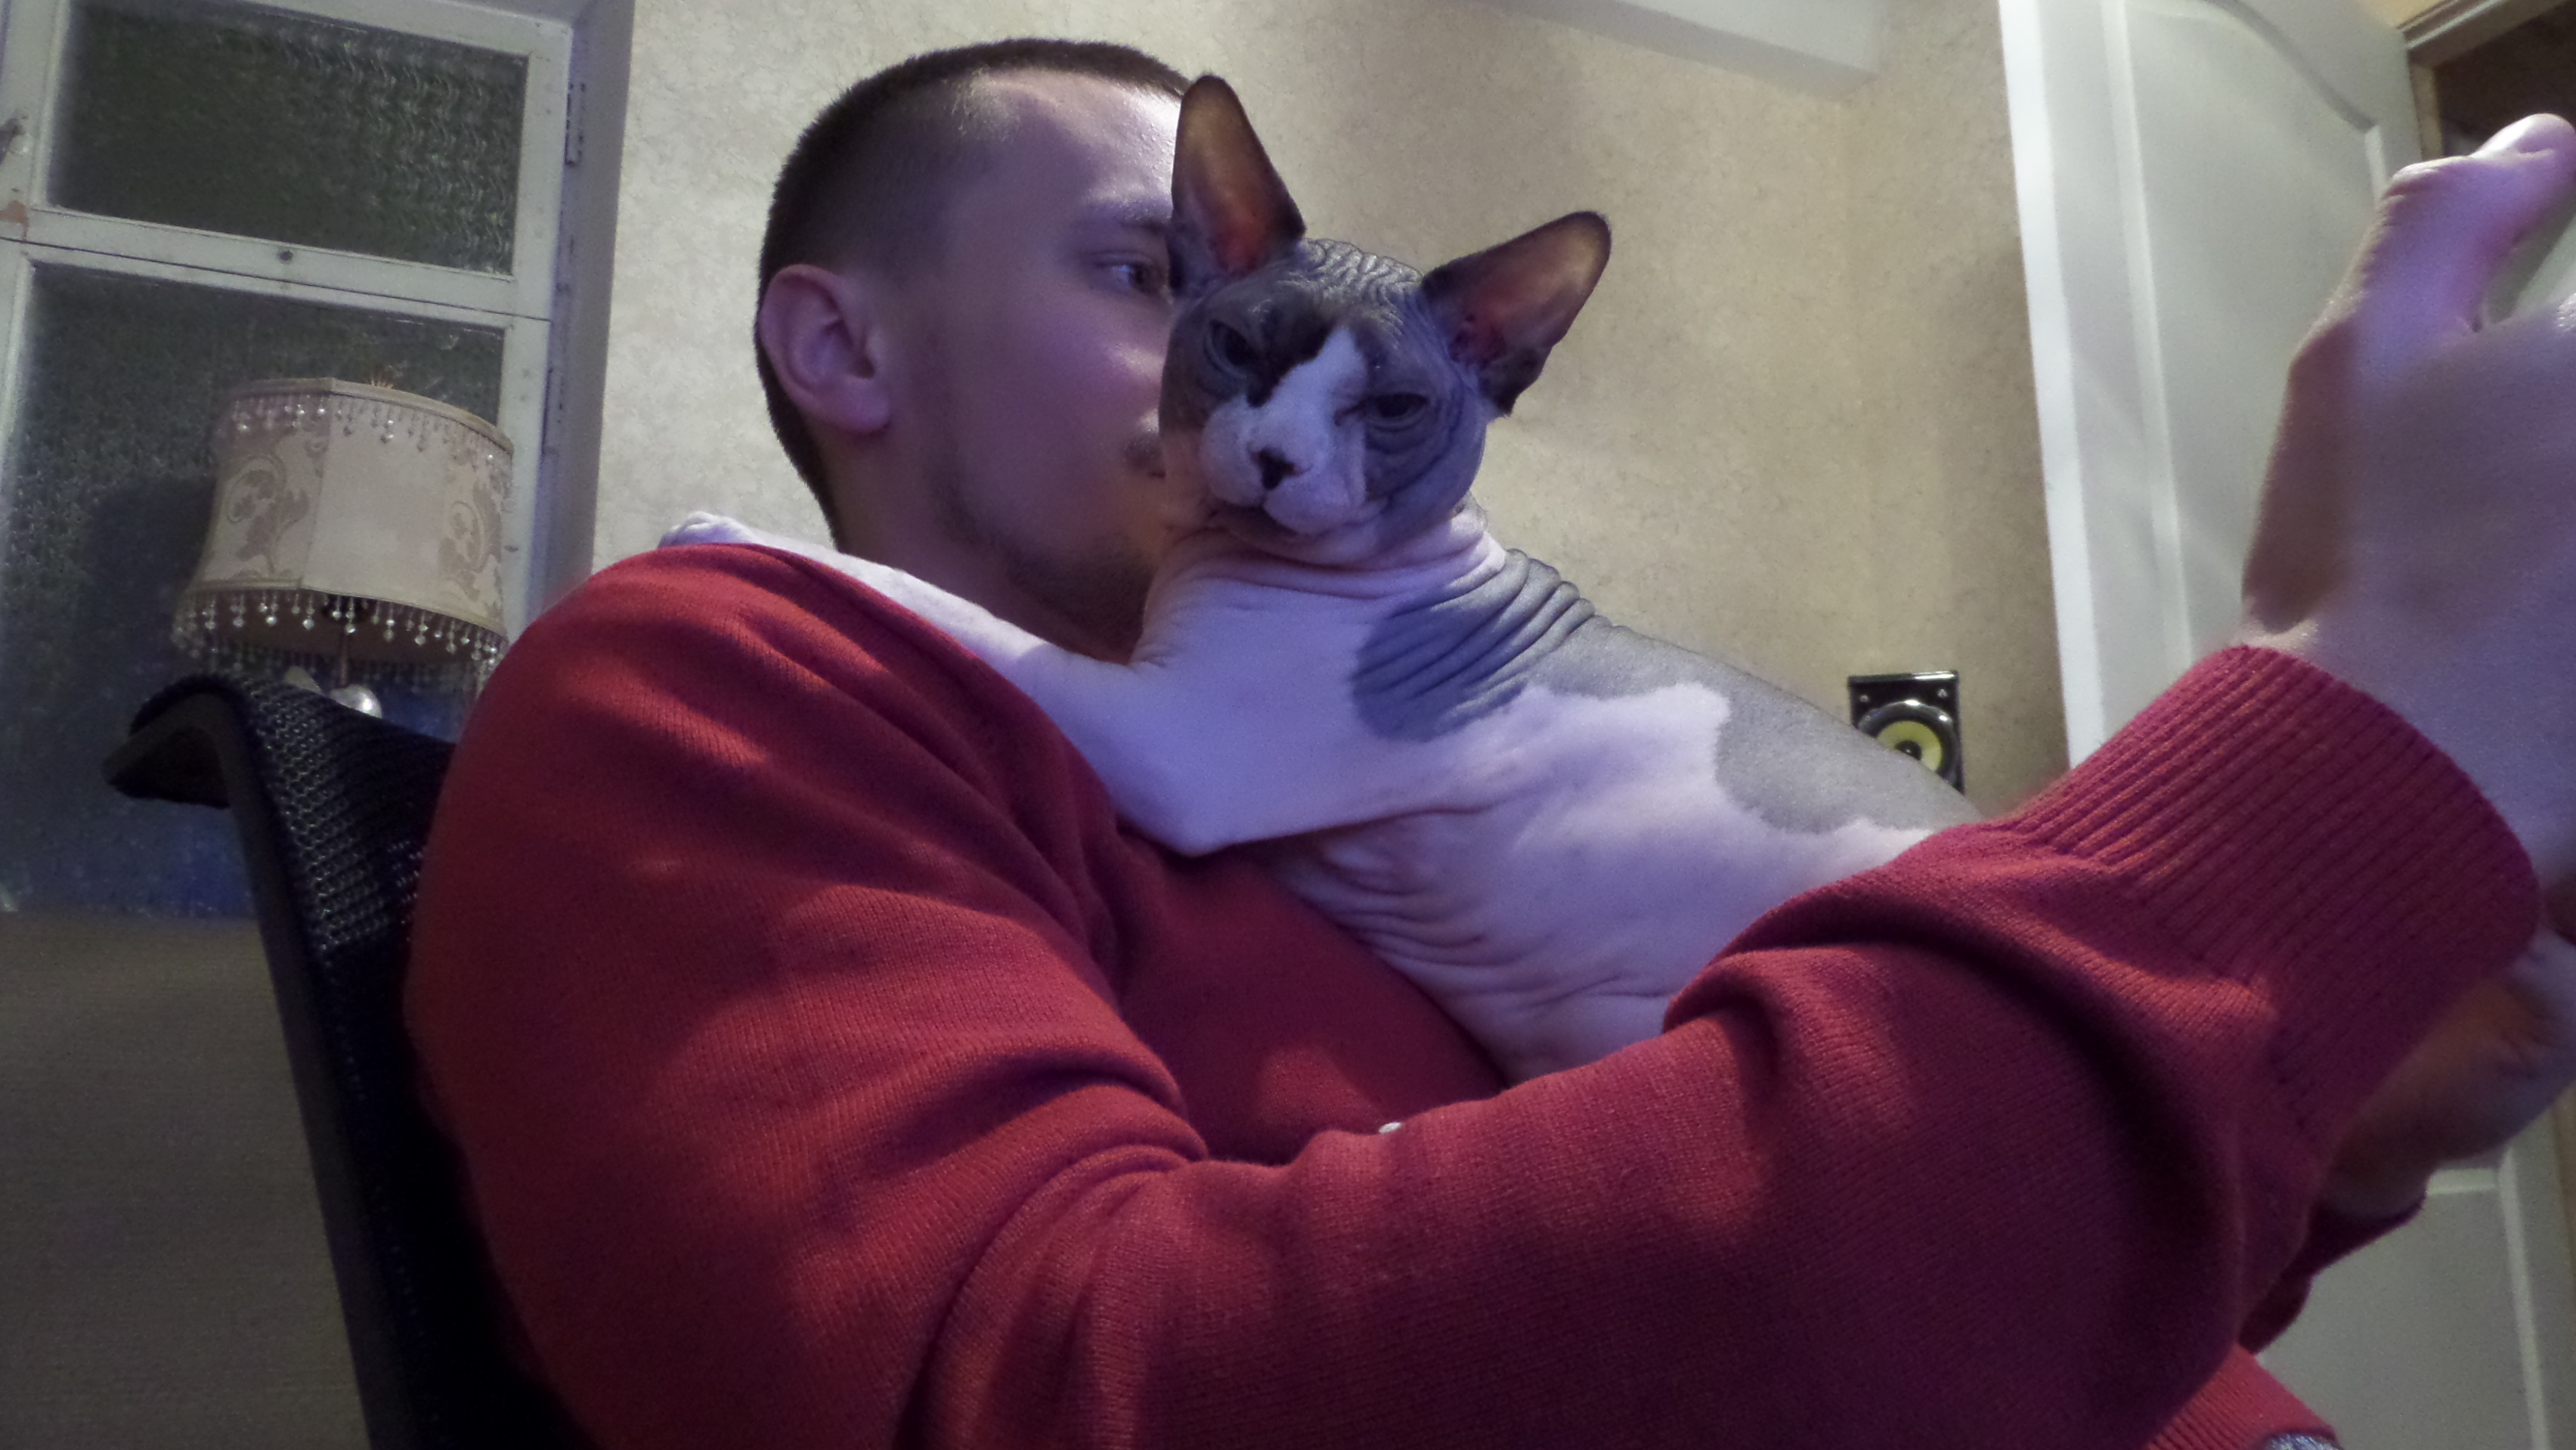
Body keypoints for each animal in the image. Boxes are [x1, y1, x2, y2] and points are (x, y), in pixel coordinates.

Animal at [668, 75, 1977, 1082]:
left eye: (1392, 407)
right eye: (1235, 345)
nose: (1276, 458)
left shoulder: (1176, 740)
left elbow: (937, 603)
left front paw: (723, 526)